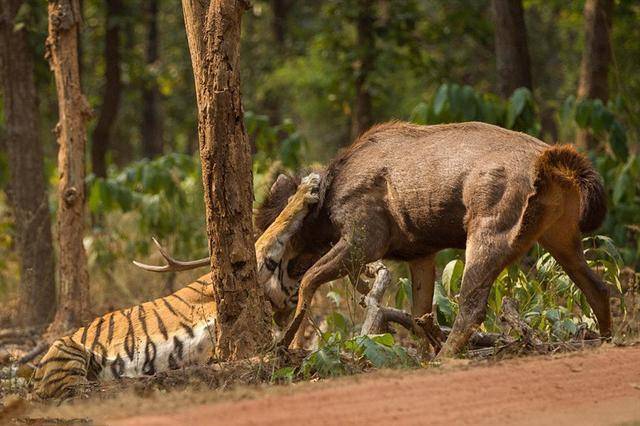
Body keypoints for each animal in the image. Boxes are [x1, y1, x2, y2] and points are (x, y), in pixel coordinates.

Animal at [254, 121, 608, 358]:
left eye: (277, 252)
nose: (273, 305)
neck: (326, 209)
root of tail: (552, 163)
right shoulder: (420, 253)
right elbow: (419, 314)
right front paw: (422, 356)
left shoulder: (366, 240)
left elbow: (309, 282)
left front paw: (284, 342)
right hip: (560, 234)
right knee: (598, 287)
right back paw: (606, 339)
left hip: (489, 232)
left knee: (472, 306)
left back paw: (447, 358)